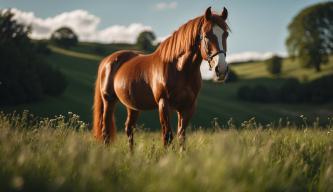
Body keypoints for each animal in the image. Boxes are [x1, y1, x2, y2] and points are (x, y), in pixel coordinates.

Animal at [92, 6, 230, 149]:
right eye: (207, 35)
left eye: (226, 34)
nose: (221, 69)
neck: (179, 68)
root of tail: (107, 61)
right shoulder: (163, 103)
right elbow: (167, 137)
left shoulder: (188, 107)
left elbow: (181, 136)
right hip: (109, 101)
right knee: (106, 132)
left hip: (132, 107)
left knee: (129, 129)